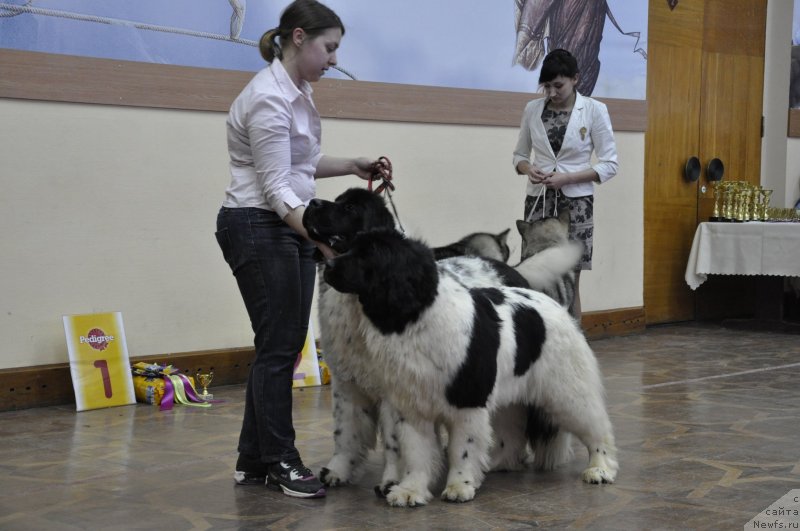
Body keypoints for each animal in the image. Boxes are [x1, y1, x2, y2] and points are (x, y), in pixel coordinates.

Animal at [324, 230, 620, 508]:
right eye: (347, 247)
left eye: (366, 255)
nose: (327, 264)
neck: (416, 317)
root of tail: (553, 304)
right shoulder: (410, 406)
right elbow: (416, 452)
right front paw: (411, 490)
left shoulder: (467, 403)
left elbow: (461, 448)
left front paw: (460, 486)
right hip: (509, 395)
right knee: (512, 432)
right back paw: (499, 463)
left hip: (566, 392)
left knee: (597, 427)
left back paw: (600, 469)